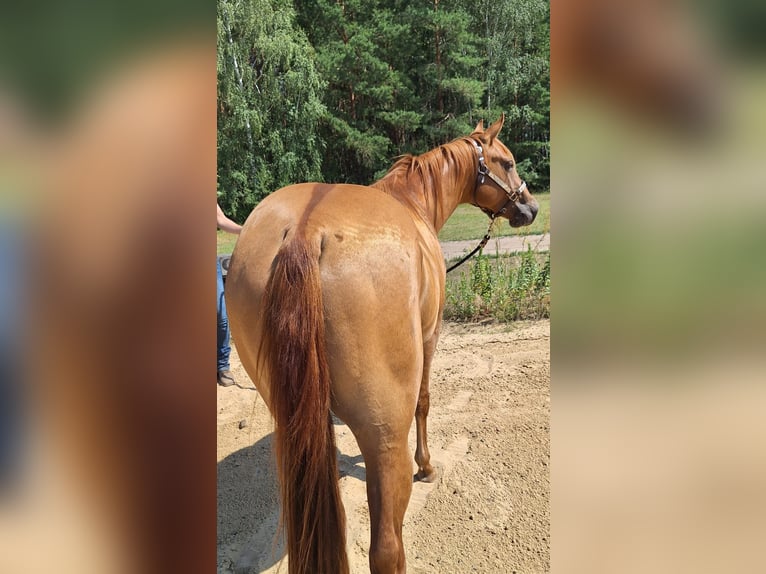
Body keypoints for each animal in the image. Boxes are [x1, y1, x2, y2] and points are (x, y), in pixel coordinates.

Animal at [226, 114, 539, 574]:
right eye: (508, 162)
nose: (531, 208)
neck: (412, 201)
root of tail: (306, 230)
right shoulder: (430, 336)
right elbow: (425, 401)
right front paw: (427, 465)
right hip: (386, 437)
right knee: (387, 547)